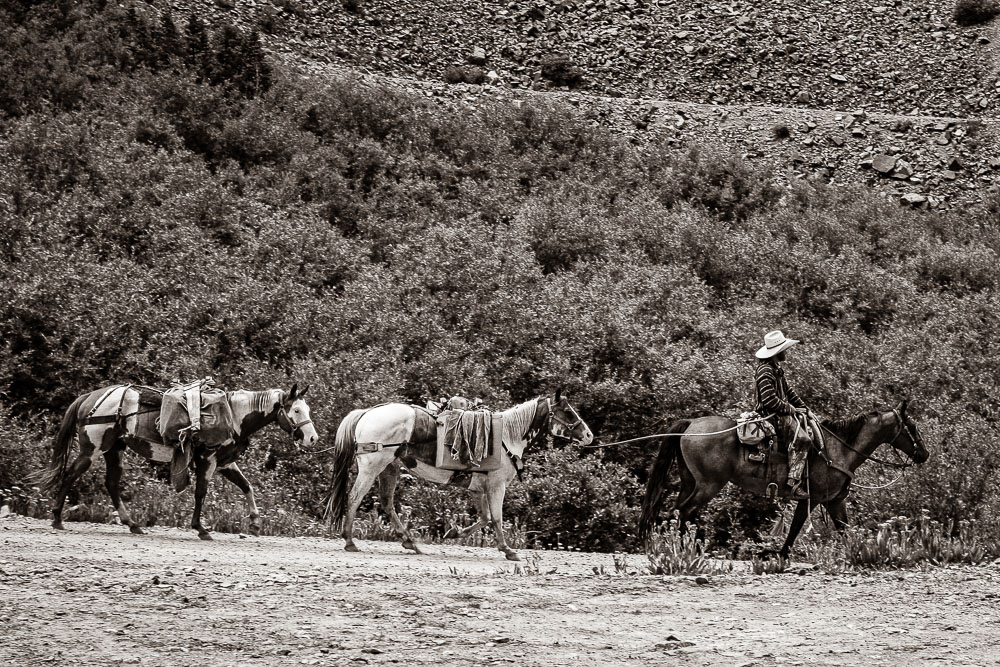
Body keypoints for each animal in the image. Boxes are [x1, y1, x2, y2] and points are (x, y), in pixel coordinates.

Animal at [39, 384, 316, 540]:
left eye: (308, 410)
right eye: (296, 410)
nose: (312, 438)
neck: (232, 416)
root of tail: (89, 397)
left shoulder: (225, 463)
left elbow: (247, 486)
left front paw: (255, 522)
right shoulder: (208, 460)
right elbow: (201, 492)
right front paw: (200, 528)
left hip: (113, 450)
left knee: (112, 484)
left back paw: (132, 524)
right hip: (92, 449)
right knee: (71, 474)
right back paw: (57, 518)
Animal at [328, 388, 592, 560]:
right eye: (567, 411)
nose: (588, 435)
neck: (505, 436)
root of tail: (367, 413)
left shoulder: (478, 489)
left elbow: (484, 518)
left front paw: (454, 533)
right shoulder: (496, 486)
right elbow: (497, 518)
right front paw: (508, 550)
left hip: (389, 469)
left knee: (386, 503)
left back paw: (409, 541)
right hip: (372, 467)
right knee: (354, 498)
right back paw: (350, 540)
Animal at [640, 402, 928, 560]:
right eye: (912, 427)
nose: (924, 454)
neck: (839, 449)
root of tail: (689, 425)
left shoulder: (834, 501)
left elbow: (844, 529)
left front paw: (858, 553)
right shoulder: (812, 498)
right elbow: (796, 527)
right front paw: (779, 555)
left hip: (691, 482)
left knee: (679, 511)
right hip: (708, 485)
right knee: (685, 511)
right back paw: (687, 551)